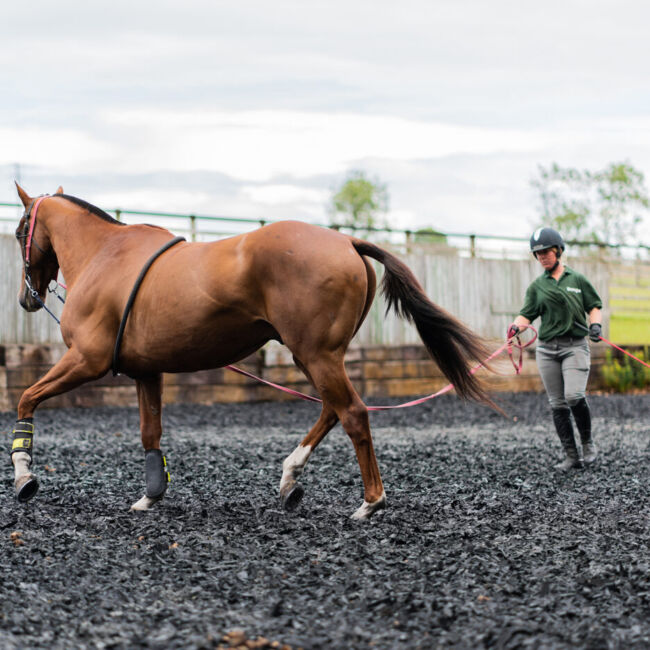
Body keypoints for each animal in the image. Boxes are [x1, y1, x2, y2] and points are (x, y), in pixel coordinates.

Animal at [10, 184, 494, 519]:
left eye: (18, 232)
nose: (26, 299)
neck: (106, 256)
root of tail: (346, 242)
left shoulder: (86, 360)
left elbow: (26, 399)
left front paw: (24, 475)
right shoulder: (146, 371)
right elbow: (150, 434)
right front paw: (150, 496)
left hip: (317, 355)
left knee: (353, 413)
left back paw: (370, 503)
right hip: (313, 356)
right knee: (333, 410)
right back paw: (290, 478)